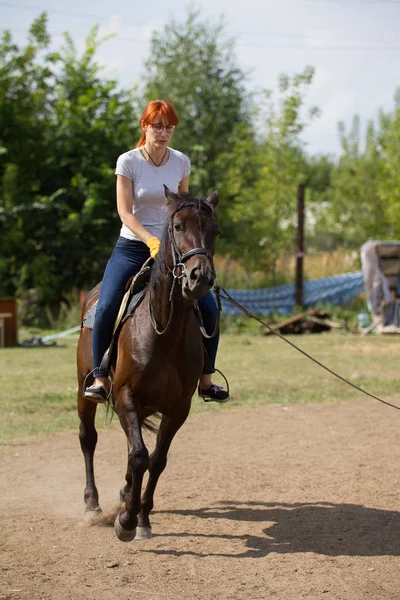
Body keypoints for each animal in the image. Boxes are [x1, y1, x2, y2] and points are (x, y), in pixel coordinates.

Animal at [76, 189, 220, 544]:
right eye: (178, 226)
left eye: (216, 230)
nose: (200, 277)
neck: (163, 334)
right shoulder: (126, 395)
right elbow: (139, 455)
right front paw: (126, 522)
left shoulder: (178, 408)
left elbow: (156, 460)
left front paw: (141, 517)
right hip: (85, 389)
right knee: (88, 438)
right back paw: (92, 506)